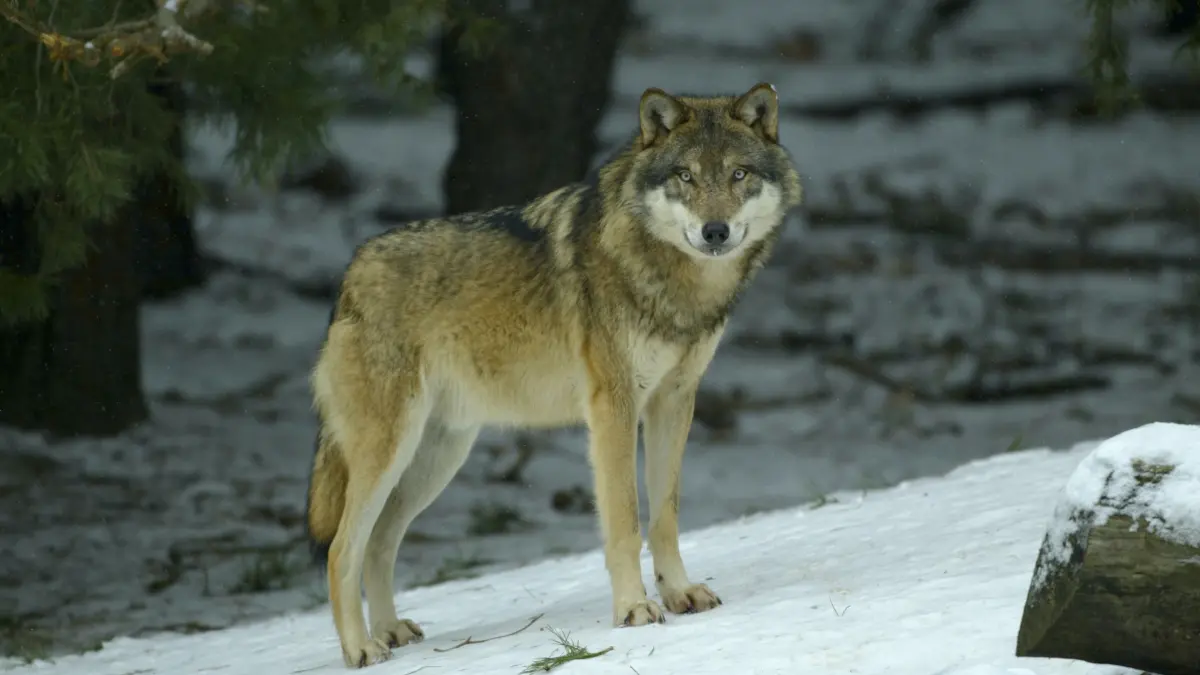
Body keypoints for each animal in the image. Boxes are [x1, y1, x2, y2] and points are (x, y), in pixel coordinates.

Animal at [305, 82, 803, 668]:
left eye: (739, 174)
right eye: (685, 176)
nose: (715, 231)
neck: (675, 283)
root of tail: (350, 276)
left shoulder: (674, 401)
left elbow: (665, 516)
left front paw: (679, 593)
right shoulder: (614, 407)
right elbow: (625, 521)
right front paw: (633, 609)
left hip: (436, 459)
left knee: (380, 543)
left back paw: (390, 632)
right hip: (390, 453)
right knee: (341, 549)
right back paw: (361, 649)